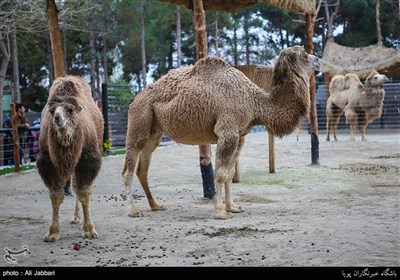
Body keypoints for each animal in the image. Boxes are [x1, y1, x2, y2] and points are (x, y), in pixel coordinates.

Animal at [121, 44, 318, 220]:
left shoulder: (240, 136)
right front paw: (220, 212)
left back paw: (155, 205)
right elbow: (221, 173)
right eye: (304, 55)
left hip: (154, 132)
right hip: (139, 120)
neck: (254, 103)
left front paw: (233, 207)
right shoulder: (227, 132)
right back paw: (133, 210)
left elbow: (229, 173)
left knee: (142, 169)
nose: (318, 60)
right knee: (129, 168)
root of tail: (136, 98)